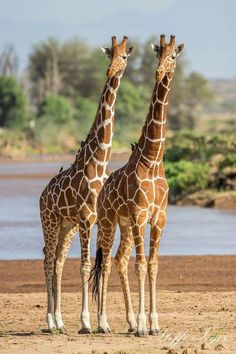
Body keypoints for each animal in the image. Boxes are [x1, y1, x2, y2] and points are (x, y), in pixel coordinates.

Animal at [39, 34, 134, 334]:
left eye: (124, 56)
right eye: (108, 55)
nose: (111, 71)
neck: (100, 161)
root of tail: (42, 195)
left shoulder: (99, 220)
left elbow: (101, 266)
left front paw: (103, 322)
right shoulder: (85, 218)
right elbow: (84, 265)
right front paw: (85, 322)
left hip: (65, 227)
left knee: (57, 261)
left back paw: (59, 321)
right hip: (51, 221)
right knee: (48, 260)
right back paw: (51, 322)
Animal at [90, 34, 184, 336]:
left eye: (173, 56)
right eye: (157, 54)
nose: (159, 72)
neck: (152, 159)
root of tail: (102, 193)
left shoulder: (159, 217)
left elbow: (153, 264)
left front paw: (154, 324)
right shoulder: (139, 215)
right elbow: (141, 264)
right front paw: (144, 325)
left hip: (124, 224)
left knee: (119, 259)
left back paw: (127, 322)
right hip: (108, 221)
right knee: (106, 262)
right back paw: (103, 322)